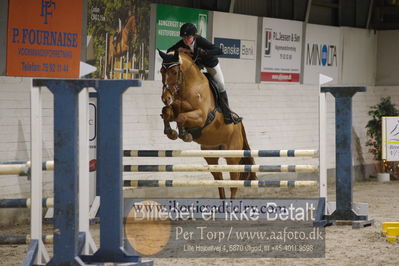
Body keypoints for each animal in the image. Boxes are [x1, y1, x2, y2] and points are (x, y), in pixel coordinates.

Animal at [158, 50, 258, 200]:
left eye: (175, 72)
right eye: (161, 71)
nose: (165, 98)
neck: (187, 88)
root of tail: (239, 125)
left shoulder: (201, 116)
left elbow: (182, 117)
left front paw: (184, 134)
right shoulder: (173, 109)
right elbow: (166, 112)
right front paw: (171, 132)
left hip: (232, 157)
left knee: (234, 183)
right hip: (211, 155)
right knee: (219, 180)